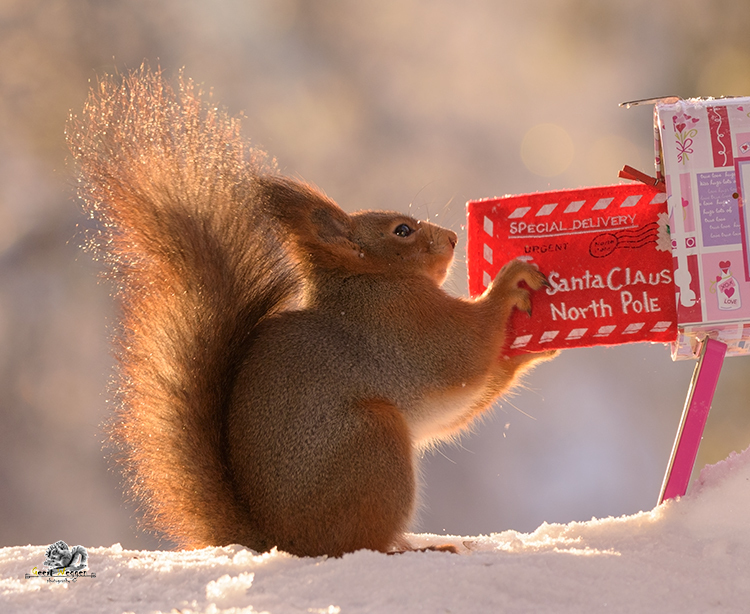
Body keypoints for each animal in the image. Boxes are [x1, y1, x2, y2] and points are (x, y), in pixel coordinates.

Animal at [67, 67, 556, 560]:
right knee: (360, 544)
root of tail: (279, 540)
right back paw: (417, 549)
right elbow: (468, 349)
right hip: (372, 443)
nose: (454, 238)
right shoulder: (407, 327)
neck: (369, 280)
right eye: (402, 231)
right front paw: (509, 282)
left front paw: (532, 352)